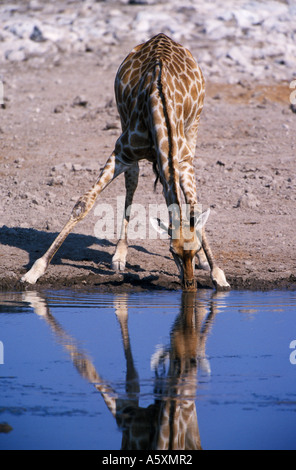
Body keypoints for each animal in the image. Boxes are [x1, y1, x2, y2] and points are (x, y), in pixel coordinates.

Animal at [21, 34, 229, 290]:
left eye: (195, 247)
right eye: (172, 251)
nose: (190, 285)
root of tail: (161, 36)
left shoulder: (183, 160)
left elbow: (193, 206)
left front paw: (217, 272)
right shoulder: (121, 153)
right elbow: (83, 204)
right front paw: (34, 270)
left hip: (194, 128)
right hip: (123, 120)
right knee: (134, 180)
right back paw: (120, 255)